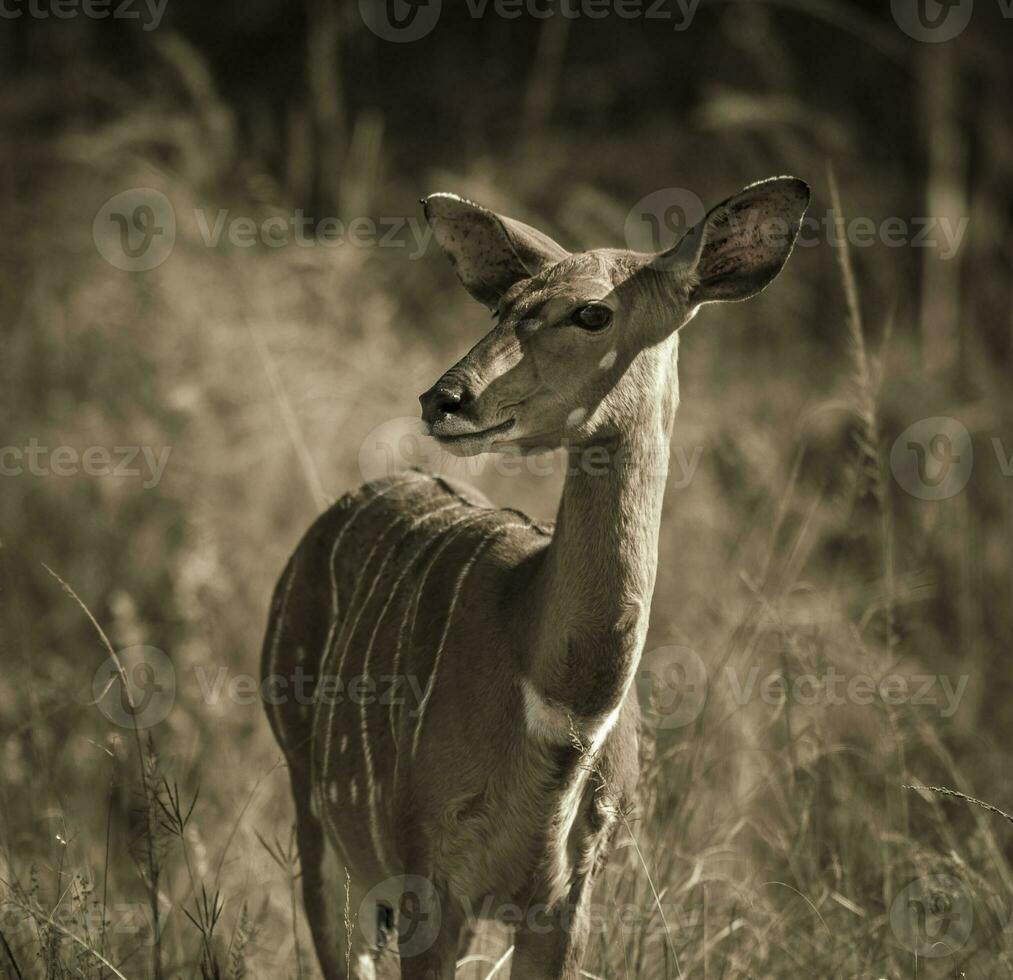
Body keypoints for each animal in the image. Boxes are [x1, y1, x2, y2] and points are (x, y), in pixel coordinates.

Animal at [263, 172, 814, 976]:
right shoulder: (432, 877)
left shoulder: (566, 898)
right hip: (319, 820)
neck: (560, 711)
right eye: (501, 306)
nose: (444, 398)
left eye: (593, 312)